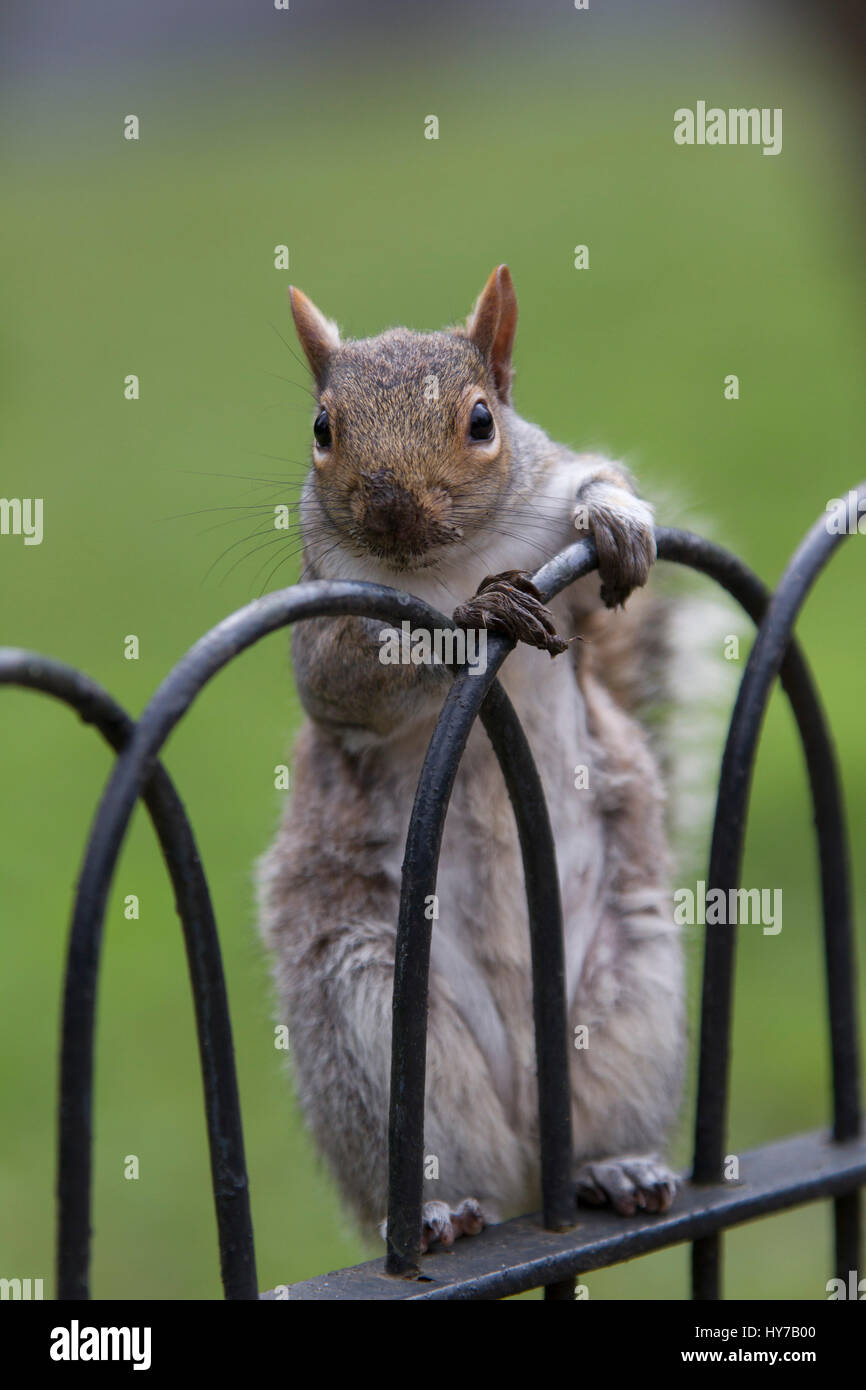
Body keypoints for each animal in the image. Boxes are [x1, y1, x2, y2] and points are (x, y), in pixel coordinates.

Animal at [257, 265, 683, 1256]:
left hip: (635, 993)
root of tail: (533, 1153)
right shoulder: (323, 632)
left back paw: (618, 1165)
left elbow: (594, 482)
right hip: (371, 1018)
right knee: (436, 1159)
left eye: (483, 420)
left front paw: (618, 518)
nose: (390, 508)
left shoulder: (552, 503)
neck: (445, 564)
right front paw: (472, 619)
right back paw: (440, 1209)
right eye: (322, 430)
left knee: (598, 1123)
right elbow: (342, 679)